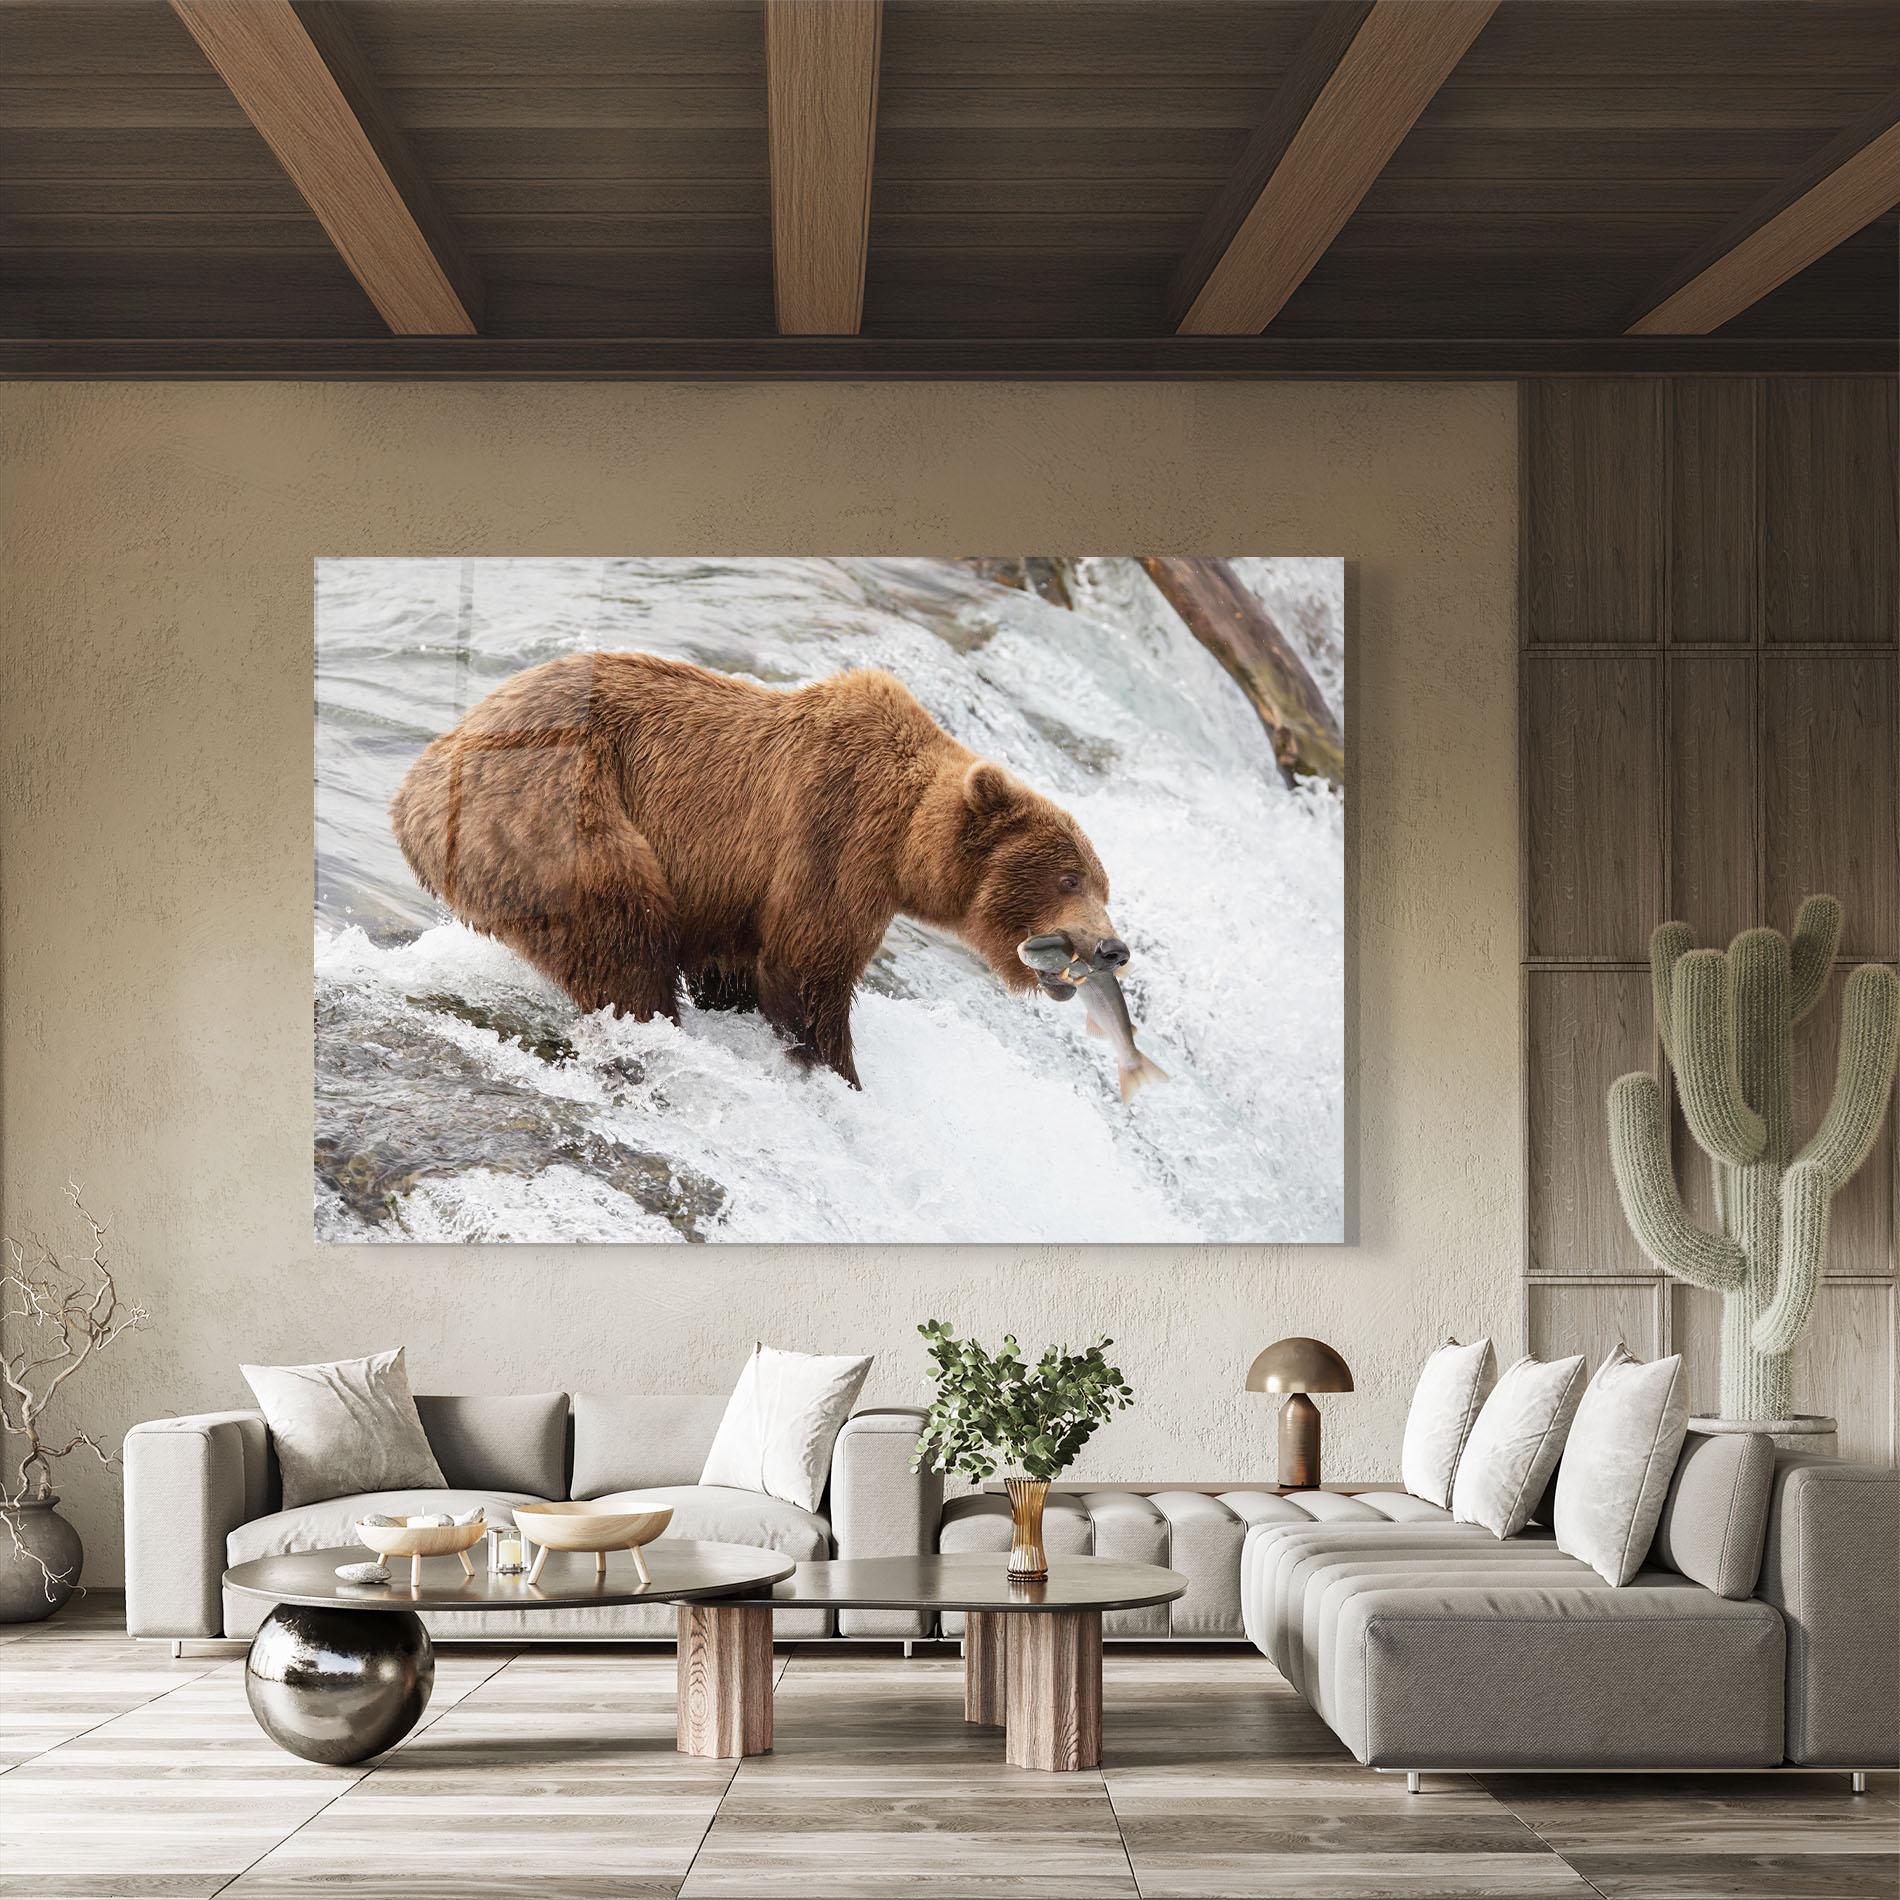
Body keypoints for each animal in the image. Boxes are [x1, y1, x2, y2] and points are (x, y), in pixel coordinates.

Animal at [390, 652, 1129, 1088]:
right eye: (1069, 878)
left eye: (1103, 883)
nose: (1112, 948)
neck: (904, 843)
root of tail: (415, 782)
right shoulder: (833, 835)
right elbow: (807, 970)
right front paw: (838, 1072)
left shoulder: (735, 892)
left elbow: (738, 966)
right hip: (555, 810)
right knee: (622, 932)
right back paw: (652, 1021)